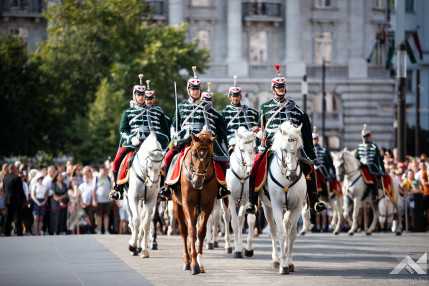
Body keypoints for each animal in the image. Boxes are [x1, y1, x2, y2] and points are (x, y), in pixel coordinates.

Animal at [171, 130, 219, 274]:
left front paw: (199, 262)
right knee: (184, 231)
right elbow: (191, 231)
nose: (197, 182)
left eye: (210, 156)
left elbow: (201, 232)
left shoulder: (207, 205)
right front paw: (193, 264)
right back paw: (187, 261)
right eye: (194, 153)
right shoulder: (188, 204)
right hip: (177, 205)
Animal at [222, 126, 256, 258]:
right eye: (241, 149)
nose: (250, 170)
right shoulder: (230, 198)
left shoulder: (245, 199)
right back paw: (228, 245)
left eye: (253, 148)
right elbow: (234, 222)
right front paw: (237, 249)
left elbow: (241, 220)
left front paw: (241, 247)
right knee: (226, 218)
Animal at [260, 121, 306, 274]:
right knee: (273, 229)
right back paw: (276, 259)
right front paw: (283, 265)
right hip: (267, 207)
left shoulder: (297, 207)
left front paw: (289, 262)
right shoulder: (276, 206)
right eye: (284, 149)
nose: (292, 175)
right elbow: (281, 232)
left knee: (287, 226)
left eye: (299, 148)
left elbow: (291, 233)